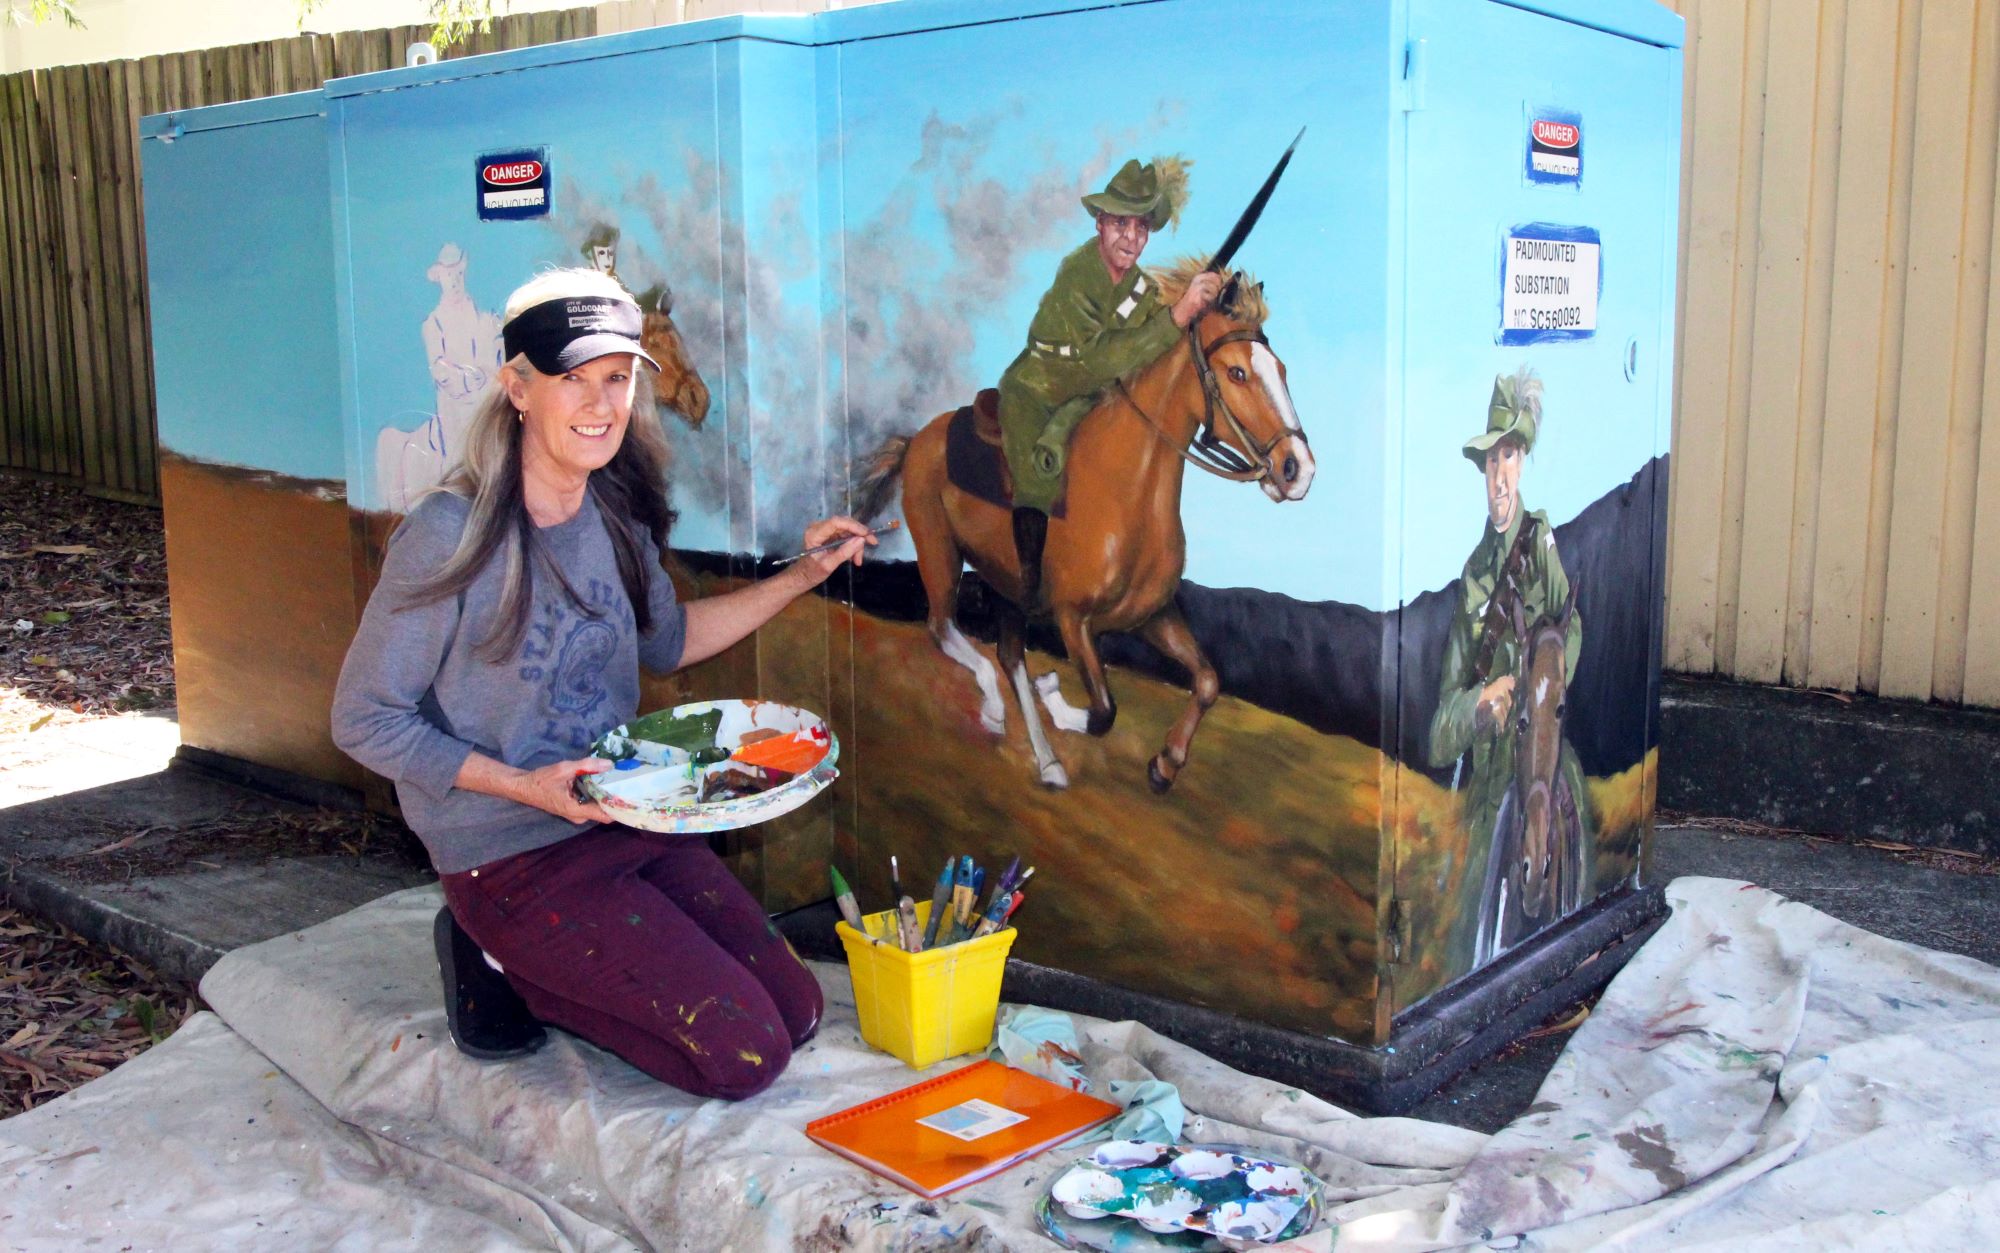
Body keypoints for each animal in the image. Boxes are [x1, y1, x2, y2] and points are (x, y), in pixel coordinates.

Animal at [848, 260, 1304, 788]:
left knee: (1008, 655)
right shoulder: (1074, 621)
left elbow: (1208, 681)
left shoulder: (1153, 614)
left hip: (1007, 587)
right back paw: (996, 712)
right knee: (943, 629)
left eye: (1282, 371)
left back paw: (1046, 761)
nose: (1298, 468)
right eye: (1237, 372)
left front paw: (1165, 764)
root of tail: (919, 439)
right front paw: (1054, 696)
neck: (1126, 491)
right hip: (939, 552)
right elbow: (1104, 711)